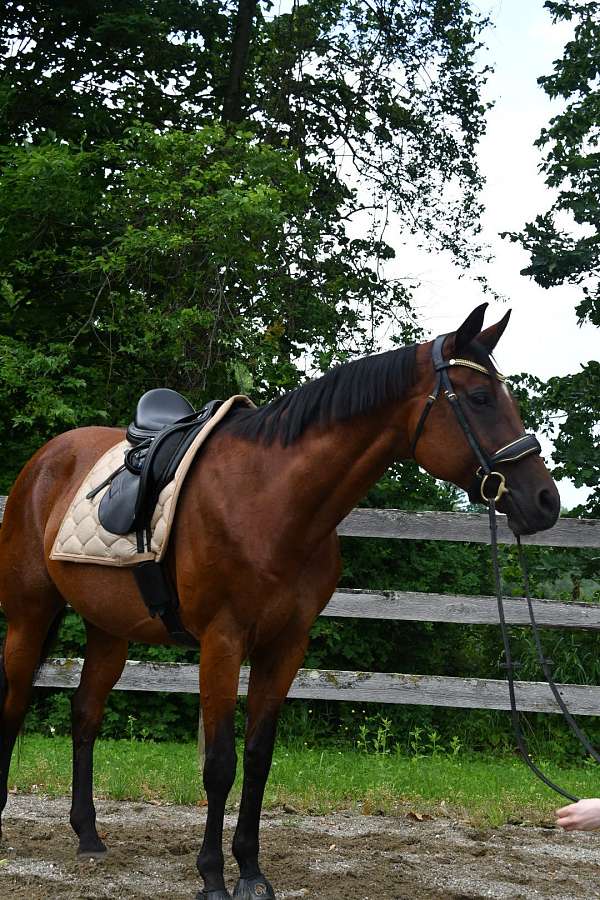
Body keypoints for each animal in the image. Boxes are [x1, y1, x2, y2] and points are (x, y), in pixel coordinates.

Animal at [0, 303, 560, 899]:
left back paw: (88, 835)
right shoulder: (222, 643)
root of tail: (46, 459)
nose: (545, 501)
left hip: (109, 629)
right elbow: (220, 764)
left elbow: (259, 756)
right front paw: (212, 877)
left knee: (85, 714)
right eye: (478, 398)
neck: (271, 499)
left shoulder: (286, 646)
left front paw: (251, 871)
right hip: (29, 617)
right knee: (13, 705)